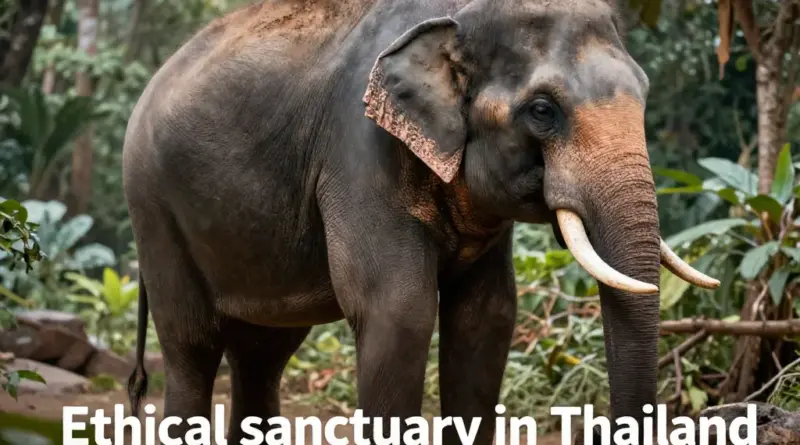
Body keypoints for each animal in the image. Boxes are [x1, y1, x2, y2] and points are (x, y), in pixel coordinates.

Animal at [122, 0, 720, 443]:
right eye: (542, 110)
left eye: (644, 93)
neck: (459, 15)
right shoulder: (359, 152)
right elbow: (398, 312)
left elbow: (487, 316)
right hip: (153, 208)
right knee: (193, 347)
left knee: (262, 354)